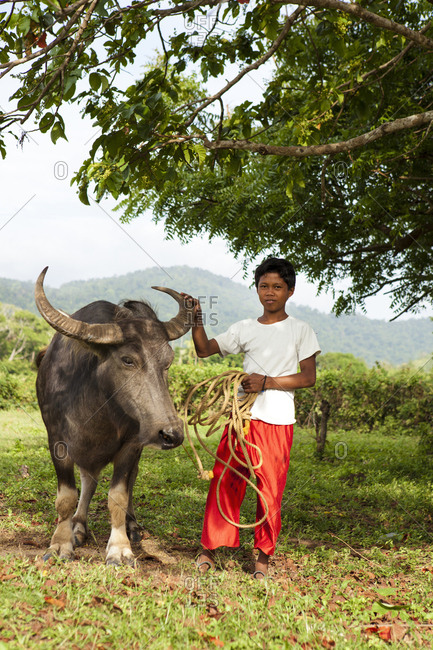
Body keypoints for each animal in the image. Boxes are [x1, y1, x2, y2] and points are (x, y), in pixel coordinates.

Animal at [35, 267, 193, 565]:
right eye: (128, 360)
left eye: (167, 361)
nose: (171, 434)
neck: (96, 406)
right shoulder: (56, 439)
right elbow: (67, 496)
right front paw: (60, 543)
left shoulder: (132, 443)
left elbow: (118, 494)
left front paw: (119, 548)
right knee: (88, 480)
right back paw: (78, 526)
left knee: (129, 480)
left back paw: (131, 525)